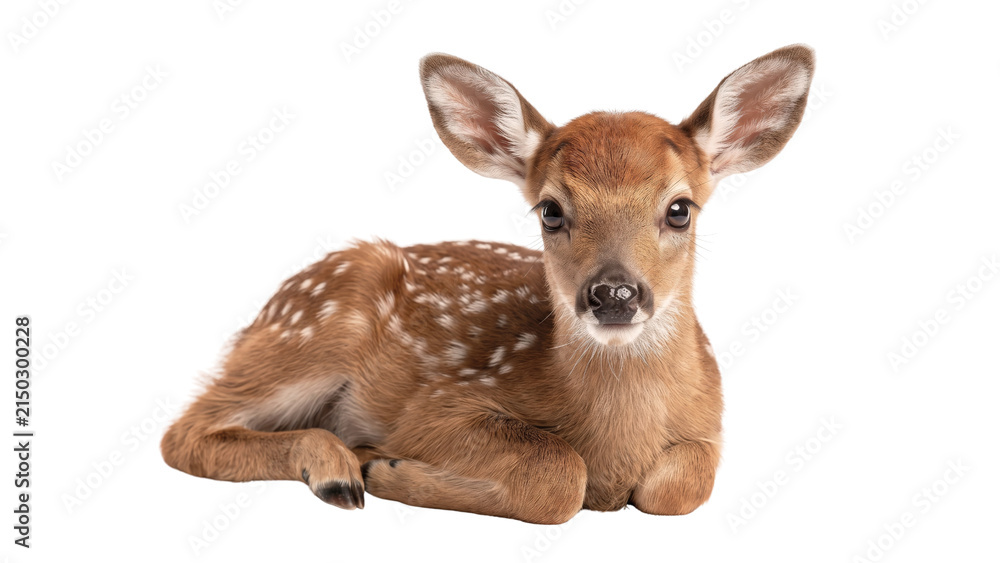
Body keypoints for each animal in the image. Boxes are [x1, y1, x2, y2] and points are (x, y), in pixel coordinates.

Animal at [161, 44, 815, 524]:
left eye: (680, 209)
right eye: (550, 211)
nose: (613, 295)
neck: (615, 438)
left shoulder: (712, 425)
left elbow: (680, 487)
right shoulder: (434, 407)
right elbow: (559, 476)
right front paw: (382, 465)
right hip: (313, 327)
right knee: (184, 431)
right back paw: (337, 469)